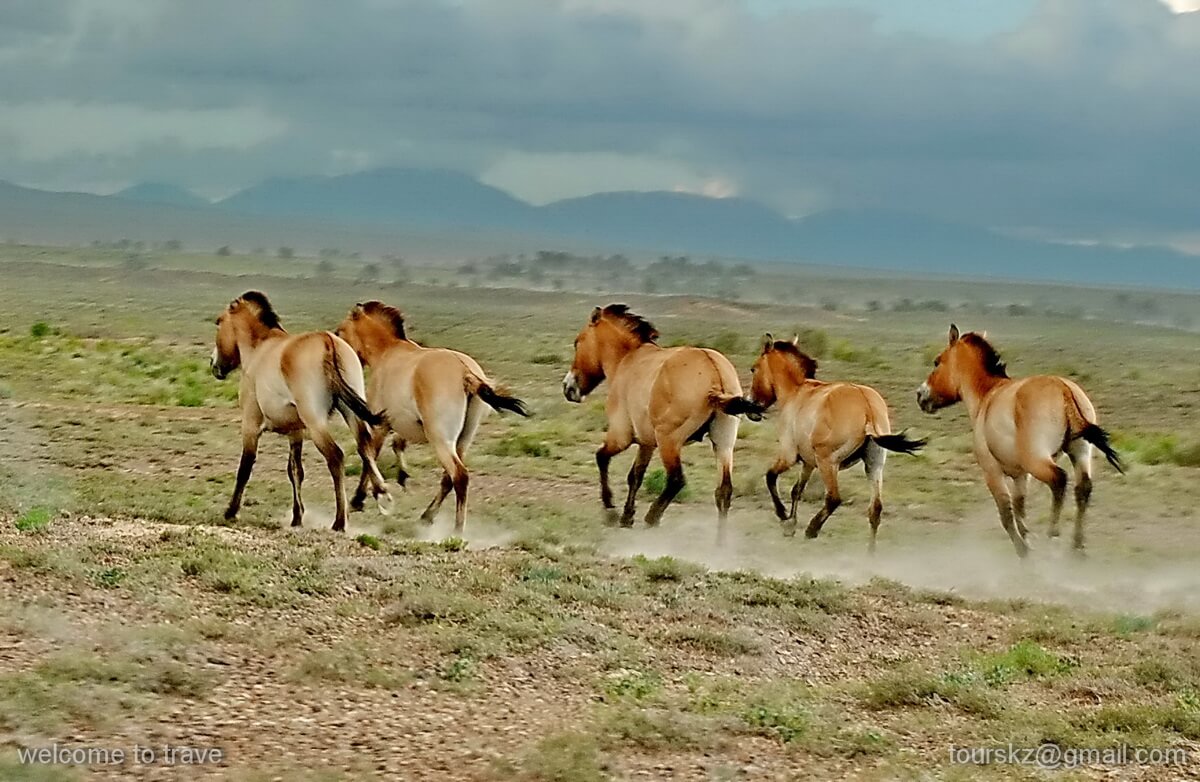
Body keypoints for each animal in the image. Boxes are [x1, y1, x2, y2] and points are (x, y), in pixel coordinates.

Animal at [210, 291, 390, 532]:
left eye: (218, 322)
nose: (214, 365)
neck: (260, 348)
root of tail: (328, 342)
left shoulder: (250, 424)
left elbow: (245, 467)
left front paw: (231, 512)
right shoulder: (295, 431)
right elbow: (295, 471)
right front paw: (297, 518)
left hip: (316, 422)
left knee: (336, 457)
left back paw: (340, 521)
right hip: (350, 413)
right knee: (365, 447)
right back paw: (379, 492)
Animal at [335, 301, 530, 534]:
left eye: (340, 331)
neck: (388, 352)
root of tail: (466, 373)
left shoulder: (380, 425)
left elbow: (368, 455)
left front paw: (360, 499)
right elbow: (394, 447)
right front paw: (398, 479)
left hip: (440, 439)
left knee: (459, 476)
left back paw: (457, 530)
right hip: (462, 440)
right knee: (448, 479)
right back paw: (427, 516)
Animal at [562, 304, 763, 538]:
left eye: (577, 342)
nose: (568, 388)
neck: (628, 359)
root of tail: (715, 373)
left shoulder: (621, 436)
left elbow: (602, 458)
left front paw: (611, 511)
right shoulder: (646, 443)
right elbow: (635, 476)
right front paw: (626, 516)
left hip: (669, 441)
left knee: (676, 480)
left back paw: (652, 517)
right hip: (723, 443)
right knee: (723, 491)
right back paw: (718, 542)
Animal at [749, 335, 925, 550]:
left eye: (754, 368)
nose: (750, 406)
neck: (797, 392)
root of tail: (867, 408)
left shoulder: (789, 455)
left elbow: (770, 477)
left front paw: (784, 519)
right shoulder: (808, 463)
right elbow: (796, 490)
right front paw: (791, 524)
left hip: (828, 463)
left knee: (834, 498)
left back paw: (812, 529)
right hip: (874, 465)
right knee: (875, 509)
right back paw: (870, 552)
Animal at [917, 324, 1123, 557]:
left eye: (937, 361)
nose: (920, 395)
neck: (988, 395)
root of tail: (1063, 389)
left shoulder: (992, 472)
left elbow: (1006, 515)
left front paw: (1024, 551)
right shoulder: (1021, 476)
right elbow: (1019, 510)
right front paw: (1028, 539)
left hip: (1038, 460)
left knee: (1059, 480)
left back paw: (1053, 537)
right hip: (1079, 452)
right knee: (1083, 489)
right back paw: (1076, 549)